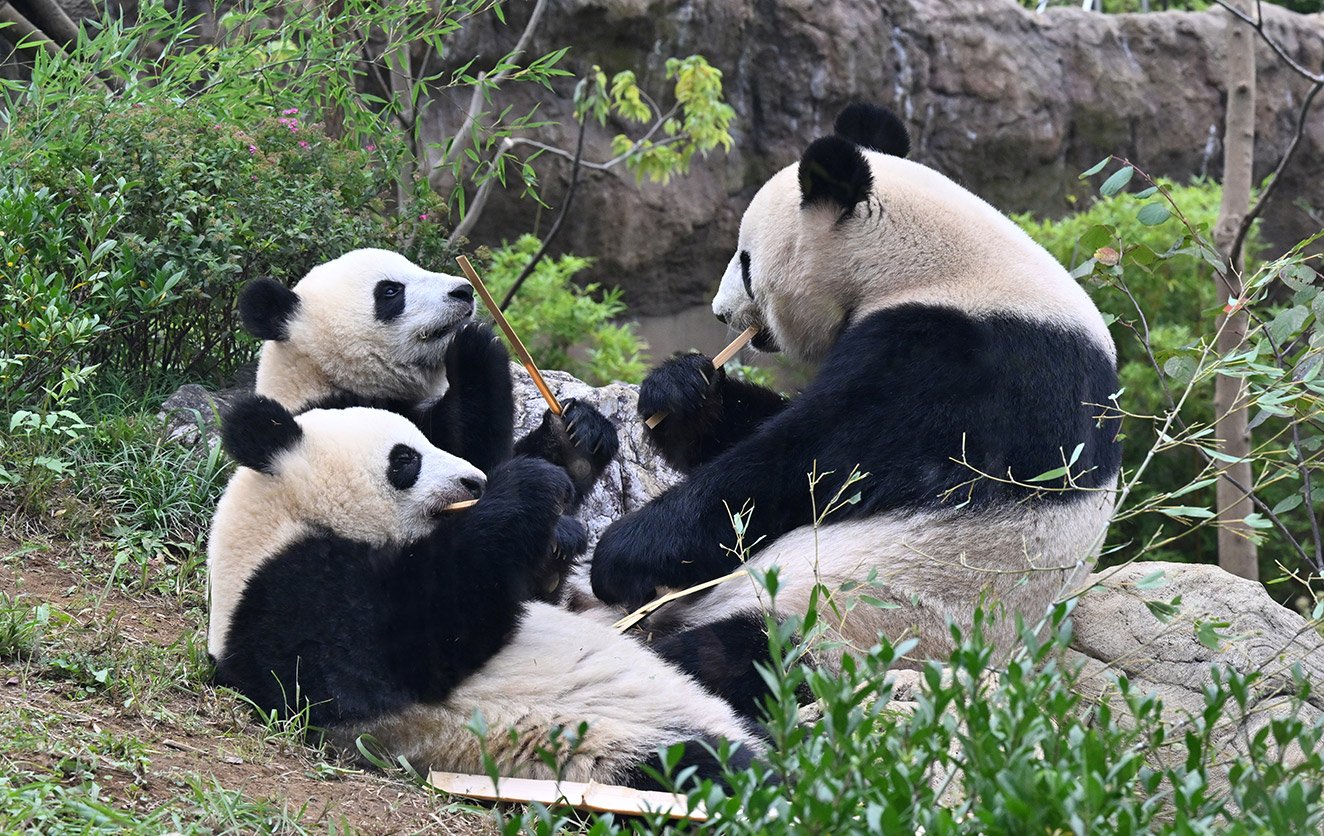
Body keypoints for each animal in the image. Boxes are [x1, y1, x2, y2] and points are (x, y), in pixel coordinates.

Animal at [206, 400, 767, 789]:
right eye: (405, 458)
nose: (473, 480)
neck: (281, 519)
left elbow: (529, 587)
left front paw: (571, 451)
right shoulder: (289, 596)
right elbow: (412, 641)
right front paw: (523, 486)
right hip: (608, 746)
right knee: (708, 768)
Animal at [239, 245, 619, 598]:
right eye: (391, 291)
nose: (464, 290)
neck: (324, 376)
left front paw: (576, 438)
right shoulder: (342, 413)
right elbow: (477, 460)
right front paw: (476, 344)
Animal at [595, 104, 1122, 688]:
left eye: (746, 262)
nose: (719, 313)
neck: (934, 264)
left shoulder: (955, 366)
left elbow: (797, 469)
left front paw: (620, 557)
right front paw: (682, 393)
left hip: (845, 627)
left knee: (729, 657)